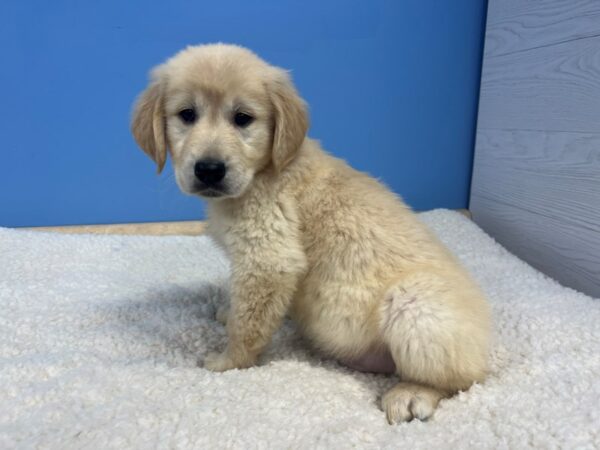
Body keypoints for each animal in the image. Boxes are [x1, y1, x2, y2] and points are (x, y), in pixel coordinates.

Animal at [132, 44, 492, 424]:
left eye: (243, 118)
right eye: (187, 114)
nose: (210, 169)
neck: (264, 171)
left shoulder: (269, 257)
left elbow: (248, 324)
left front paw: (228, 361)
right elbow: (242, 307)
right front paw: (228, 313)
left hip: (414, 303)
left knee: (460, 379)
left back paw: (411, 394)